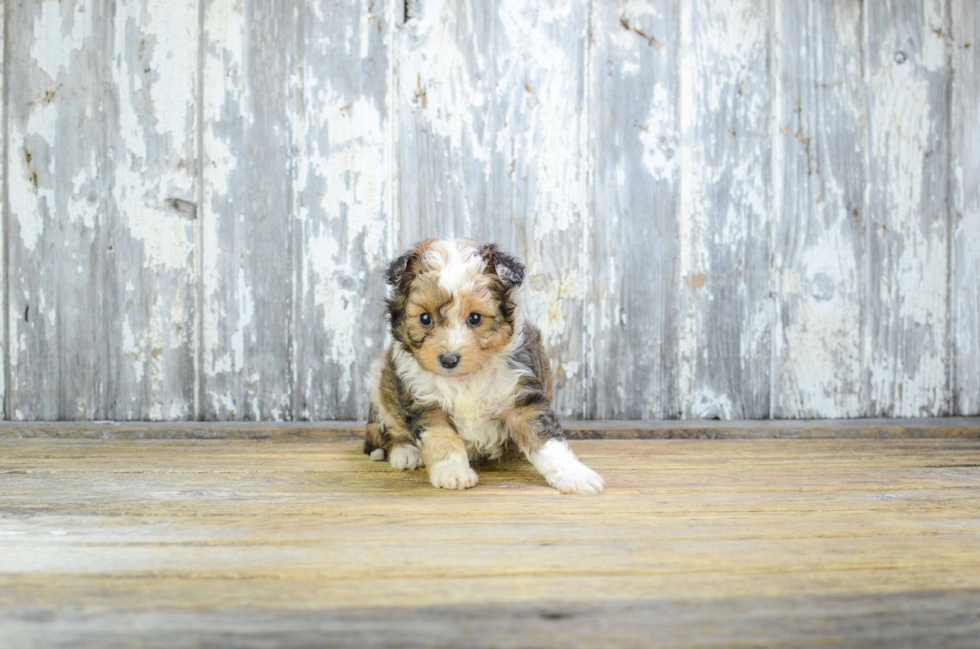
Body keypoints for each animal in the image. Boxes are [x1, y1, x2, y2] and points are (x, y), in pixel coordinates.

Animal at [364, 235, 600, 494]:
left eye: (475, 318)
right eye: (425, 319)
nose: (449, 360)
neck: (465, 378)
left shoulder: (522, 397)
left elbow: (547, 441)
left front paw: (574, 474)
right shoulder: (424, 403)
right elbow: (441, 438)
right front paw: (452, 472)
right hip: (381, 382)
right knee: (389, 426)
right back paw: (405, 452)